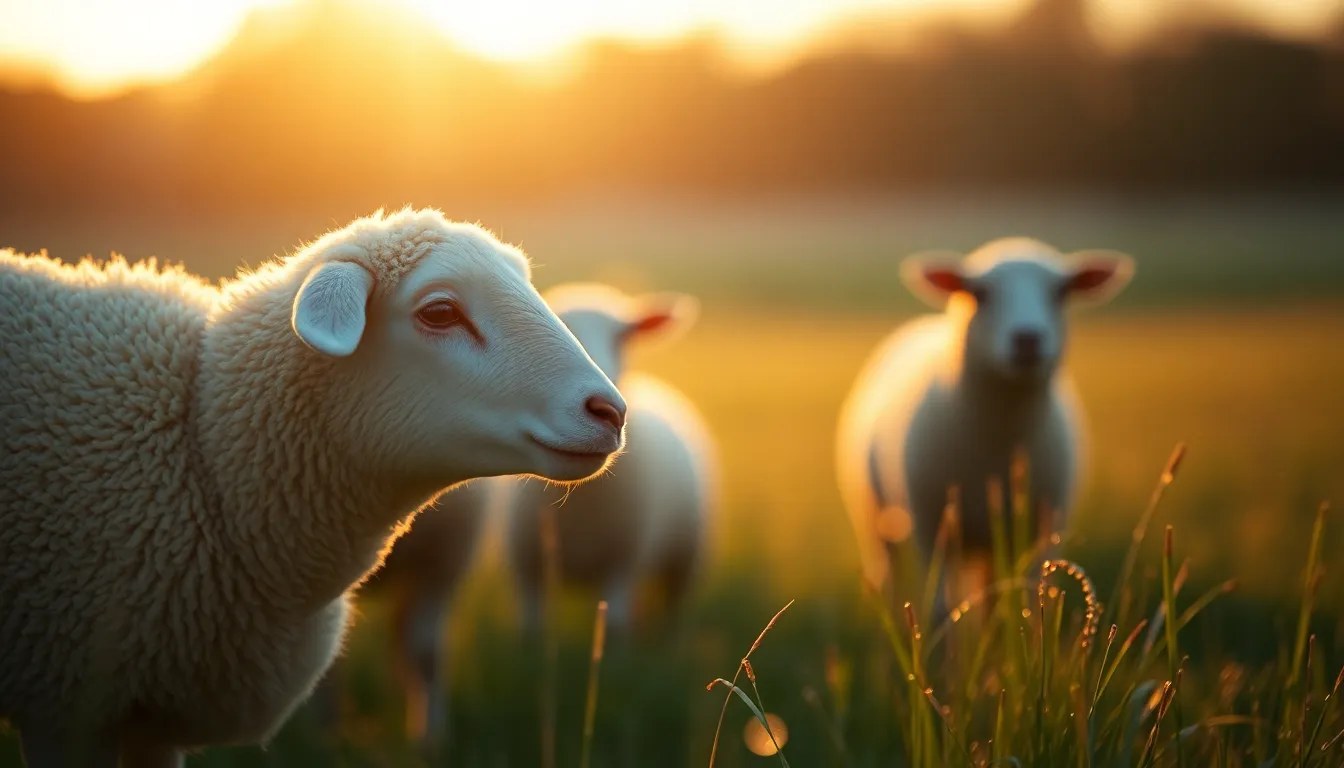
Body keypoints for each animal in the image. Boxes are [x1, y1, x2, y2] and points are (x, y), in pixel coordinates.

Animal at [504, 283, 718, 635]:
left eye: (623, 337)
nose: (606, 393)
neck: (582, 498)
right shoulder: (528, 567)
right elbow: (533, 629)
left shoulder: (622, 563)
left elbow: (616, 627)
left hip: (685, 557)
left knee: (672, 611)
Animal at [835, 237, 1133, 616]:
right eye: (980, 293)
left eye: (1061, 292)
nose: (1027, 339)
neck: (1000, 437)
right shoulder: (932, 526)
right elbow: (939, 610)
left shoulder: (1044, 528)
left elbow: (1028, 601)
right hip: (873, 510)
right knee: (885, 572)